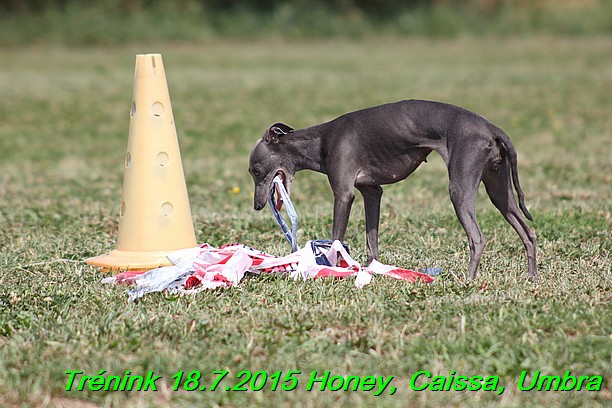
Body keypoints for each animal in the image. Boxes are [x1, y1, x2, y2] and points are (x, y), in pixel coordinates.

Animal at [249, 99, 536, 278]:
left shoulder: (344, 194)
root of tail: (491, 128)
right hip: (498, 190)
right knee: (528, 233)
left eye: (255, 171)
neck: (321, 141)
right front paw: (370, 270)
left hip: (460, 188)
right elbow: (371, 240)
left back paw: (469, 281)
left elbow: (336, 238)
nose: (257, 206)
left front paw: (333, 269)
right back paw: (531, 278)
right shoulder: (372, 193)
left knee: (477, 239)